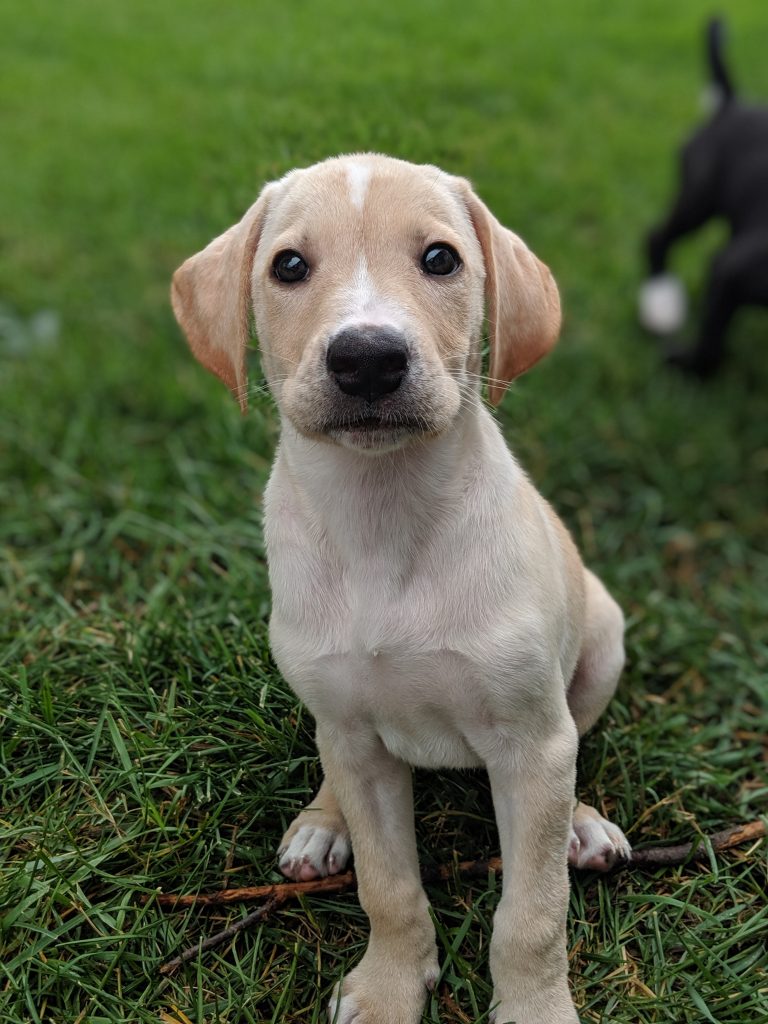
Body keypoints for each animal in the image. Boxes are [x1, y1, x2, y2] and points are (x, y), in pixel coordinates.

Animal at [638, 18, 768, 376]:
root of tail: (732, 104)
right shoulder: (731, 272)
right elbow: (712, 351)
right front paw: (680, 361)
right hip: (699, 198)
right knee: (658, 236)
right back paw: (661, 302)